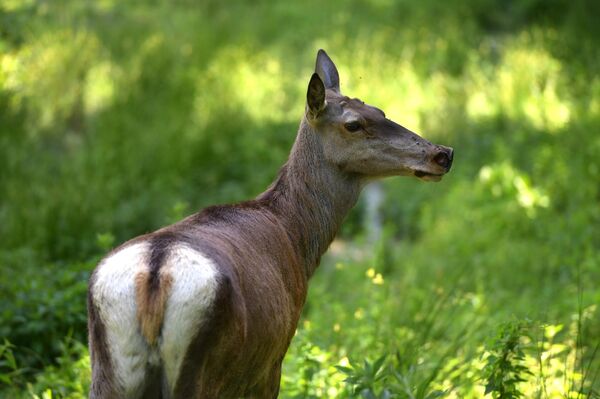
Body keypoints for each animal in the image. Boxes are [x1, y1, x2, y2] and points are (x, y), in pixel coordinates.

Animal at [86, 48, 452, 398]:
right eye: (353, 124)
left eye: (379, 110)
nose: (442, 154)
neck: (296, 237)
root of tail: (156, 275)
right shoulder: (274, 359)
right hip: (203, 368)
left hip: (108, 371)